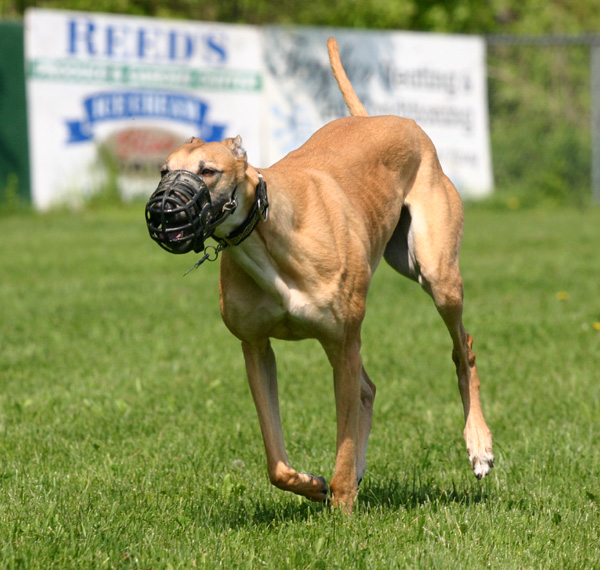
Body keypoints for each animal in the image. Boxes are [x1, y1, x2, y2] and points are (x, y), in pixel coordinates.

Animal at [149, 37, 492, 508]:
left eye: (208, 171)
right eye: (164, 171)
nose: (162, 213)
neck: (269, 236)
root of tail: (379, 118)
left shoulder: (342, 343)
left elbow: (342, 443)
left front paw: (342, 507)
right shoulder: (256, 346)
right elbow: (276, 463)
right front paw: (312, 484)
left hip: (437, 274)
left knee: (463, 349)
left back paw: (479, 445)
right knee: (369, 389)